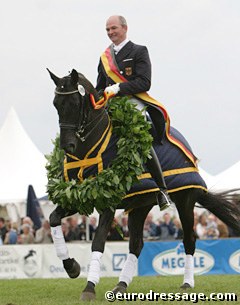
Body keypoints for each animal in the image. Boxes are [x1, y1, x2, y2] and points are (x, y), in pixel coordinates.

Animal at [47, 69, 240, 300]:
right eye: (56, 103)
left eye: (76, 103)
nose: (67, 146)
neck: (89, 152)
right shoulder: (78, 195)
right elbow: (53, 218)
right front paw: (71, 266)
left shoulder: (107, 203)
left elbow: (98, 241)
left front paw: (89, 287)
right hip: (140, 205)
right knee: (136, 244)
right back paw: (121, 285)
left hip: (185, 200)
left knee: (189, 239)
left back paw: (187, 283)